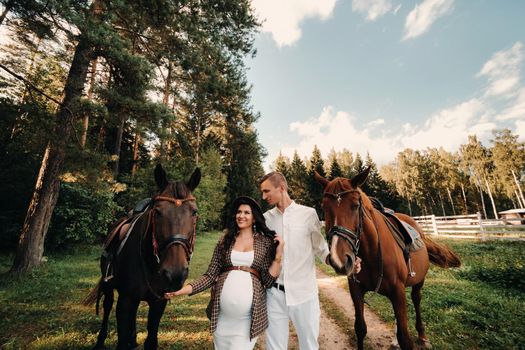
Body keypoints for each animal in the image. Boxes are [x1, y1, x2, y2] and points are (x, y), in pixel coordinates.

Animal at [84, 165, 201, 350]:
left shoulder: (158, 302)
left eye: (194, 213)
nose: (175, 274)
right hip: (109, 285)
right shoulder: (125, 301)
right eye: (157, 212)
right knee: (107, 306)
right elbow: (121, 340)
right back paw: (101, 340)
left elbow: (151, 339)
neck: (150, 262)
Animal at [316, 167, 458, 350]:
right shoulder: (356, 290)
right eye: (324, 207)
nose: (339, 259)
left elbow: (405, 339)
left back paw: (422, 335)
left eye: (355, 206)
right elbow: (360, 328)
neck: (371, 254)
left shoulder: (398, 291)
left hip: (418, 281)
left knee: (417, 299)